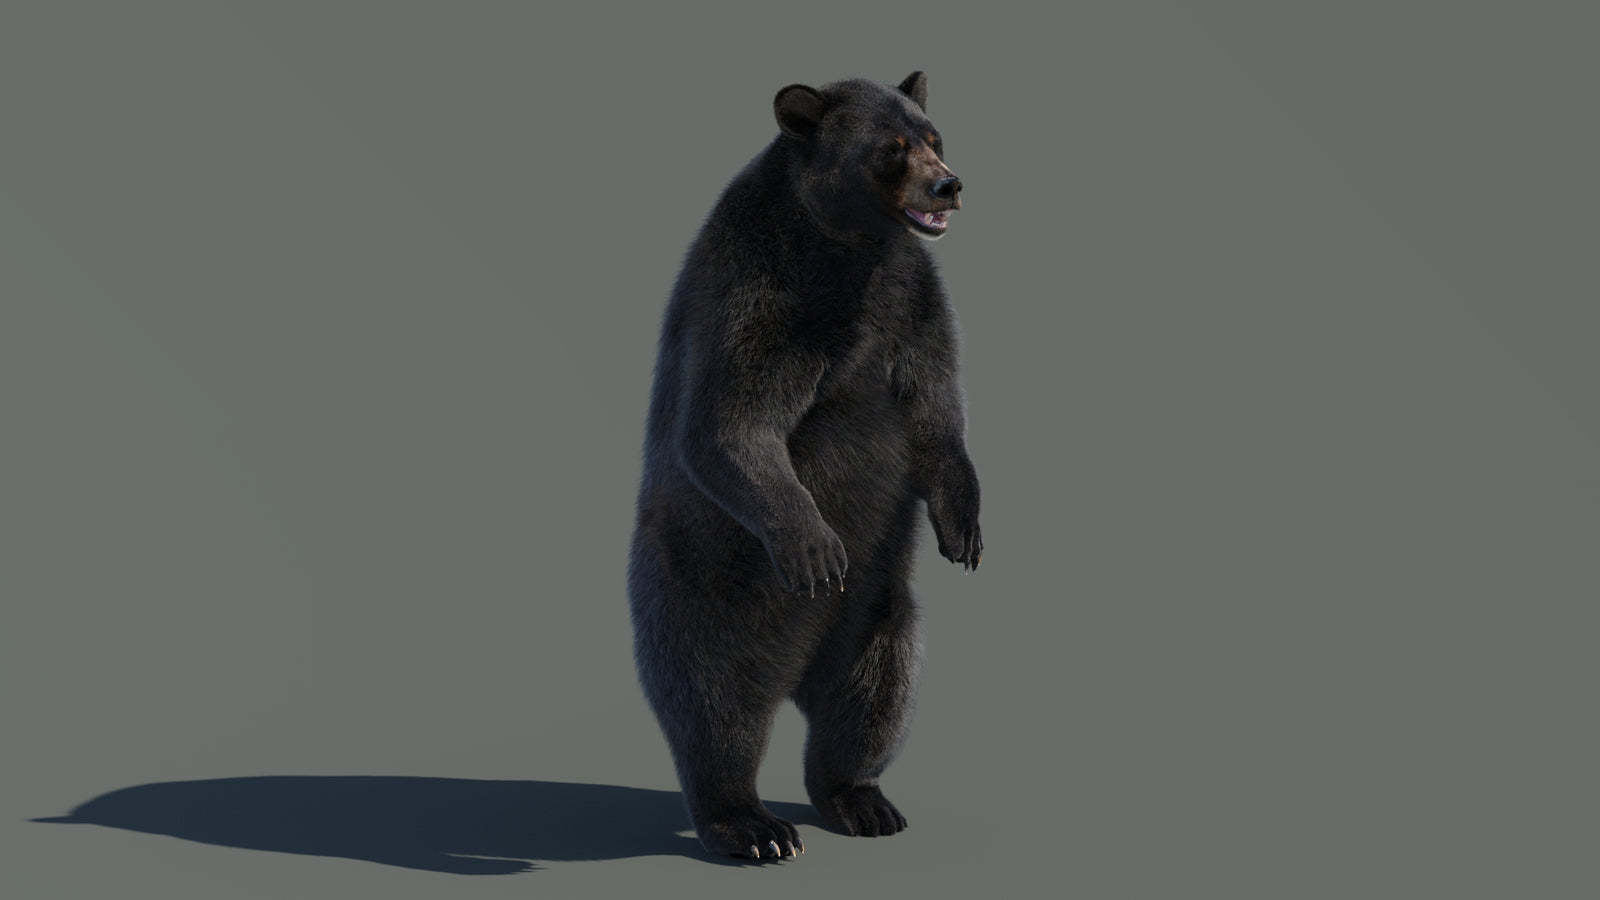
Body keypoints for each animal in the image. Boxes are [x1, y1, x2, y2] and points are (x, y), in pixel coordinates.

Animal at [627, 71, 983, 861]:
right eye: (892, 147)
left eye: (934, 135)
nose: (949, 184)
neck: (848, 246)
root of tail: (795, 673)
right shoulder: (761, 293)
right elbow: (731, 424)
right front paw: (816, 547)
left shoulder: (911, 301)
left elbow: (936, 407)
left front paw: (964, 531)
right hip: (702, 592)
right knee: (715, 705)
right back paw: (751, 825)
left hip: (880, 612)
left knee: (875, 693)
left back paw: (862, 799)